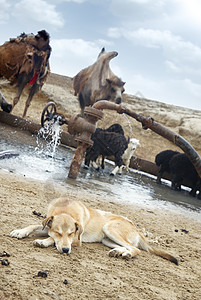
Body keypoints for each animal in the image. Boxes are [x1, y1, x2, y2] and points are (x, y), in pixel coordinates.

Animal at [9, 199, 177, 264]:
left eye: (71, 233)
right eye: (58, 232)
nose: (66, 250)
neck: (65, 210)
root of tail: (136, 228)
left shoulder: (77, 240)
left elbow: (51, 240)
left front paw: (43, 242)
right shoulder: (48, 227)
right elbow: (33, 225)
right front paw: (20, 231)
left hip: (109, 228)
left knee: (136, 249)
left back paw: (127, 254)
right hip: (107, 239)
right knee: (127, 247)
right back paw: (118, 252)